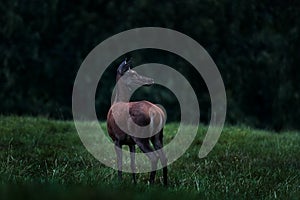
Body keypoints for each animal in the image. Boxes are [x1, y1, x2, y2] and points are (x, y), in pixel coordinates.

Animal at [107, 57, 169, 186]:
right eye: (133, 74)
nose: (150, 80)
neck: (116, 102)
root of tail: (157, 113)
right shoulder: (131, 143)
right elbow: (132, 164)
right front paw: (134, 183)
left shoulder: (116, 139)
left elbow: (120, 163)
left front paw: (119, 182)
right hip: (157, 136)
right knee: (164, 157)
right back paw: (165, 185)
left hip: (140, 136)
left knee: (154, 157)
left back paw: (151, 183)